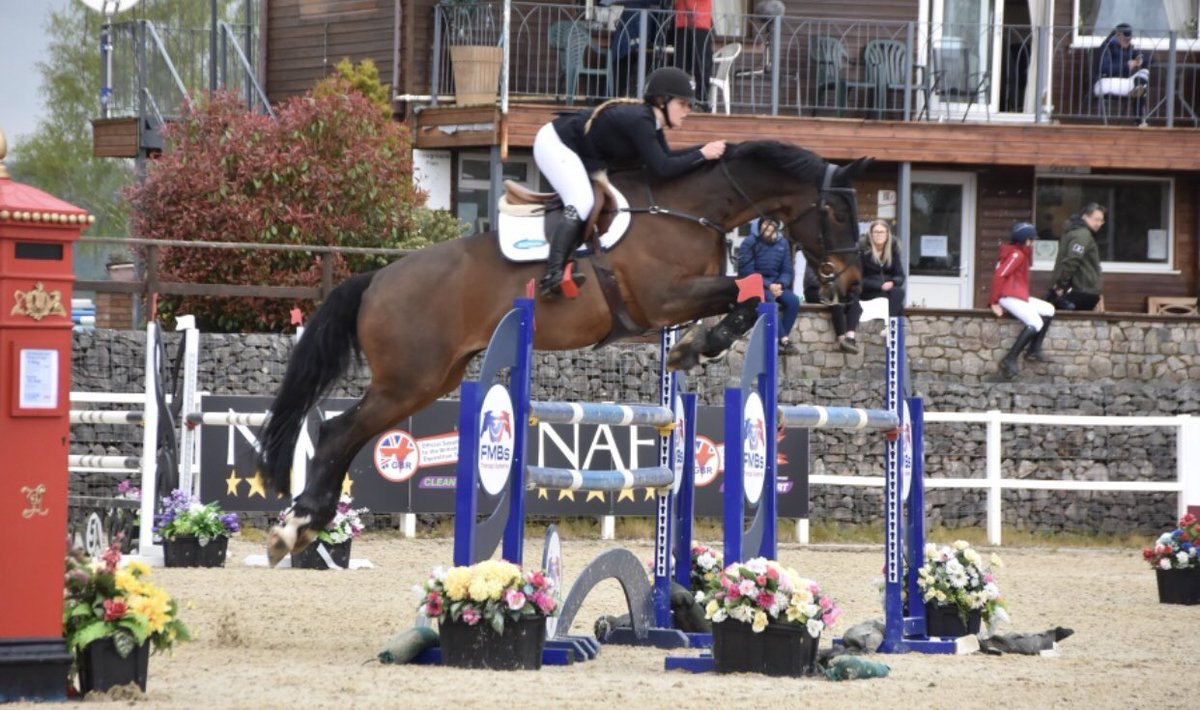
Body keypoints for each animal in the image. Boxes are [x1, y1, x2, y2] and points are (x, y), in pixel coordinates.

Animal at [258, 139, 870, 563]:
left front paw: (694, 348)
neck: (691, 209)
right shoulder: (662, 298)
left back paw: (304, 527)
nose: (855, 283)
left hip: (432, 380)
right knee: (338, 432)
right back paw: (296, 527)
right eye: (838, 212)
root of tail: (376, 279)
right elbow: (754, 290)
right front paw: (701, 347)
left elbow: (755, 292)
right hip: (408, 379)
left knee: (347, 435)